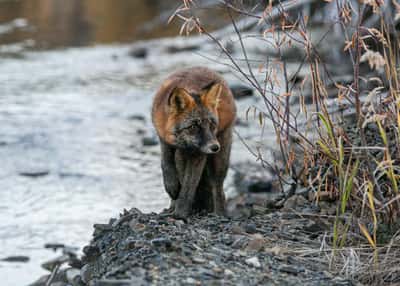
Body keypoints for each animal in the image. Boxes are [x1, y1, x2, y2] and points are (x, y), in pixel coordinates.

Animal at [152, 66, 236, 219]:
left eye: (212, 125)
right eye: (194, 126)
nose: (215, 147)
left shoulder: (198, 154)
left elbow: (189, 185)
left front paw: (181, 212)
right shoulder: (163, 139)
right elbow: (165, 164)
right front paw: (171, 187)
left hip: (219, 160)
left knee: (218, 187)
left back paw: (220, 214)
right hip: (181, 155)